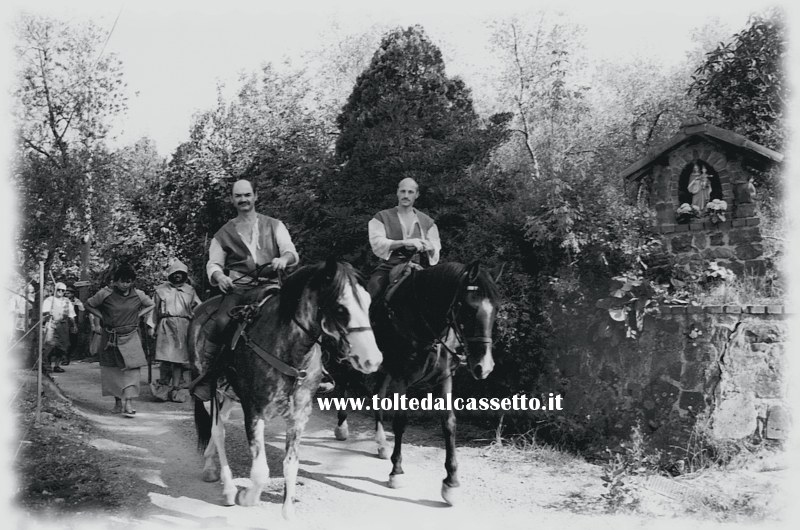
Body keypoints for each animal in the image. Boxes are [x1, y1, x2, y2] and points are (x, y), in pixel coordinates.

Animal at [192, 258, 382, 516]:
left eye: (368, 302)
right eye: (341, 309)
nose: (373, 359)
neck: (290, 351)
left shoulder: (299, 416)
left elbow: (291, 465)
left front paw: (288, 509)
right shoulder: (254, 412)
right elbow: (260, 471)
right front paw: (246, 497)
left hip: (230, 395)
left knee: (219, 424)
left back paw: (211, 467)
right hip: (210, 390)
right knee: (218, 430)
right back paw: (229, 488)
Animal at [332, 260, 496, 504]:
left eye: (495, 310)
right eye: (468, 309)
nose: (483, 366)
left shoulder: (444, 378)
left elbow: (449, 423)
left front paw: (451, 482)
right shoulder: (401, 378)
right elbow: (400, 422)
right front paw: (396, 472)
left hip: (383, 369)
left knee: (377, 396)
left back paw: (381, 444)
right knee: (344, 382)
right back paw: (342, 428)